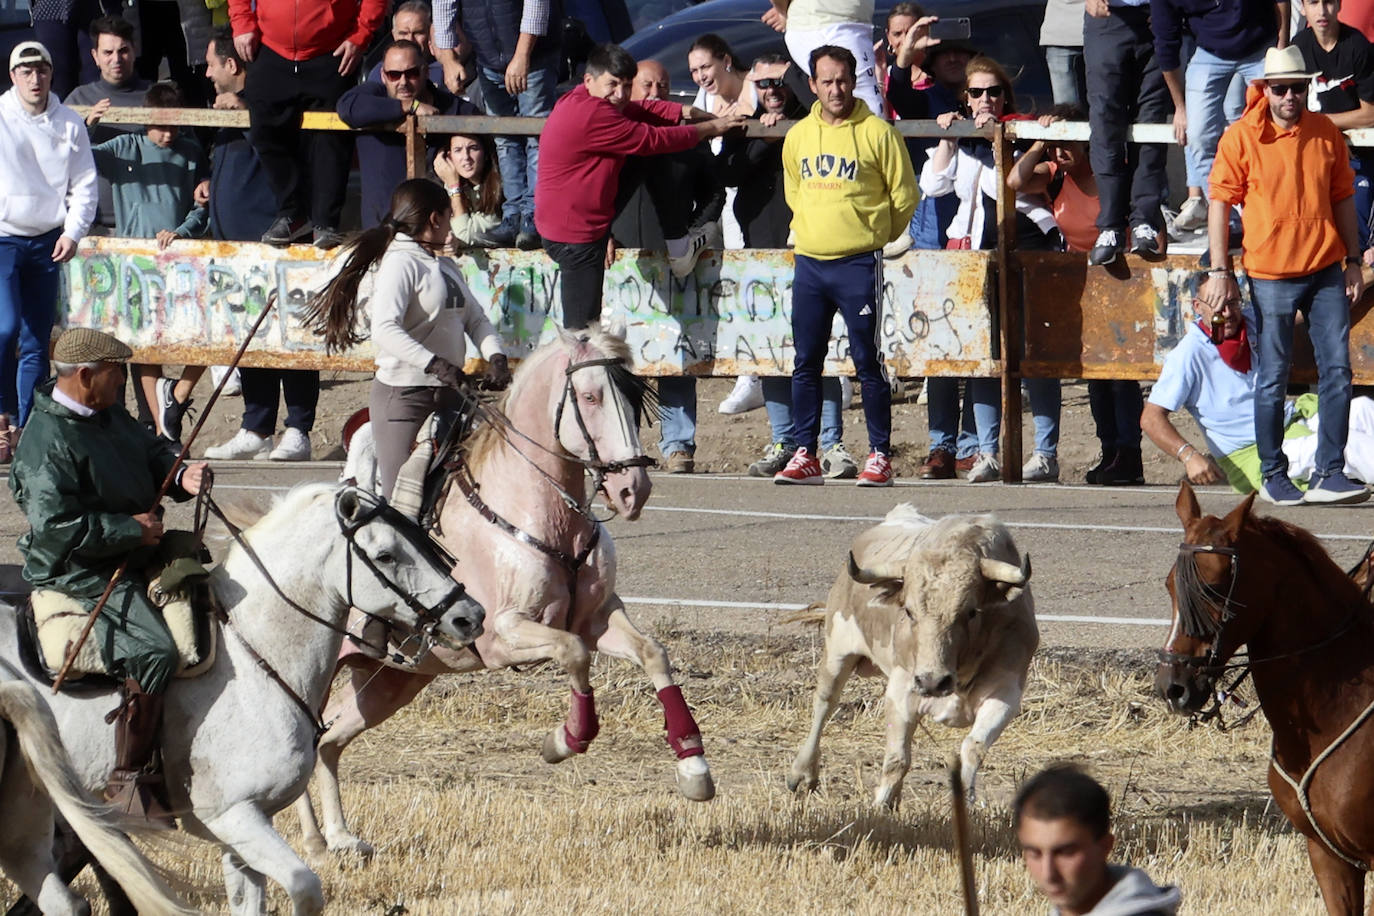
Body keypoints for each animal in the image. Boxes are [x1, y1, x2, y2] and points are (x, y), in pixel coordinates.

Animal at [0, 483, 486, 911]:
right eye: (386, 554)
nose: (470, 616)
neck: (255, 654)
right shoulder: (233, 816)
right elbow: (305, 888)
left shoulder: (245, 833)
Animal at [296, 329, 714, 862]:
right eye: (591, 397)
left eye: (635, 396)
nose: (632, 491)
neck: (544, 514)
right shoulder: (501, 635)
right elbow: (574, 653)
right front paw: (564, 740)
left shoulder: (598, 616)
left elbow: (652, 652)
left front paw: (694, 769)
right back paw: (313, 842)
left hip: (390, 683)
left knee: (328, 743)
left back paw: (340, 838)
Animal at [791, 502, 1033, 807]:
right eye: (908, 610)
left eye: (971, 611)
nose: (933, 682)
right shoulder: (902, 689)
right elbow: (897, 759)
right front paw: (880, 805)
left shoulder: (1005, 693)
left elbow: (972, 748)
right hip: (837, 651)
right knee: (825, 704)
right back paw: (803, 773)